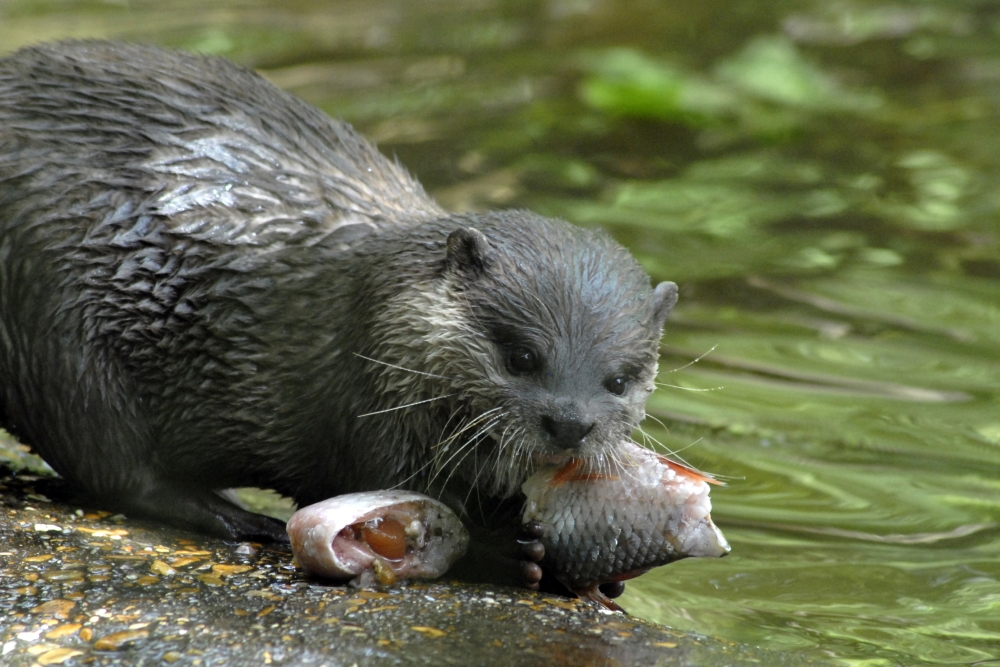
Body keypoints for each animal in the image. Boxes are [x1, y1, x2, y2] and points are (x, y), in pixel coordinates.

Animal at [0, 41, 677, 588]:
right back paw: (238, 516)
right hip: (53, 322)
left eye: (619, 380)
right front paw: (510, 550)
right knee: (113, 463)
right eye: (521, 357)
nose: (571, 424)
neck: (379, 314)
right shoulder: (365, 407)